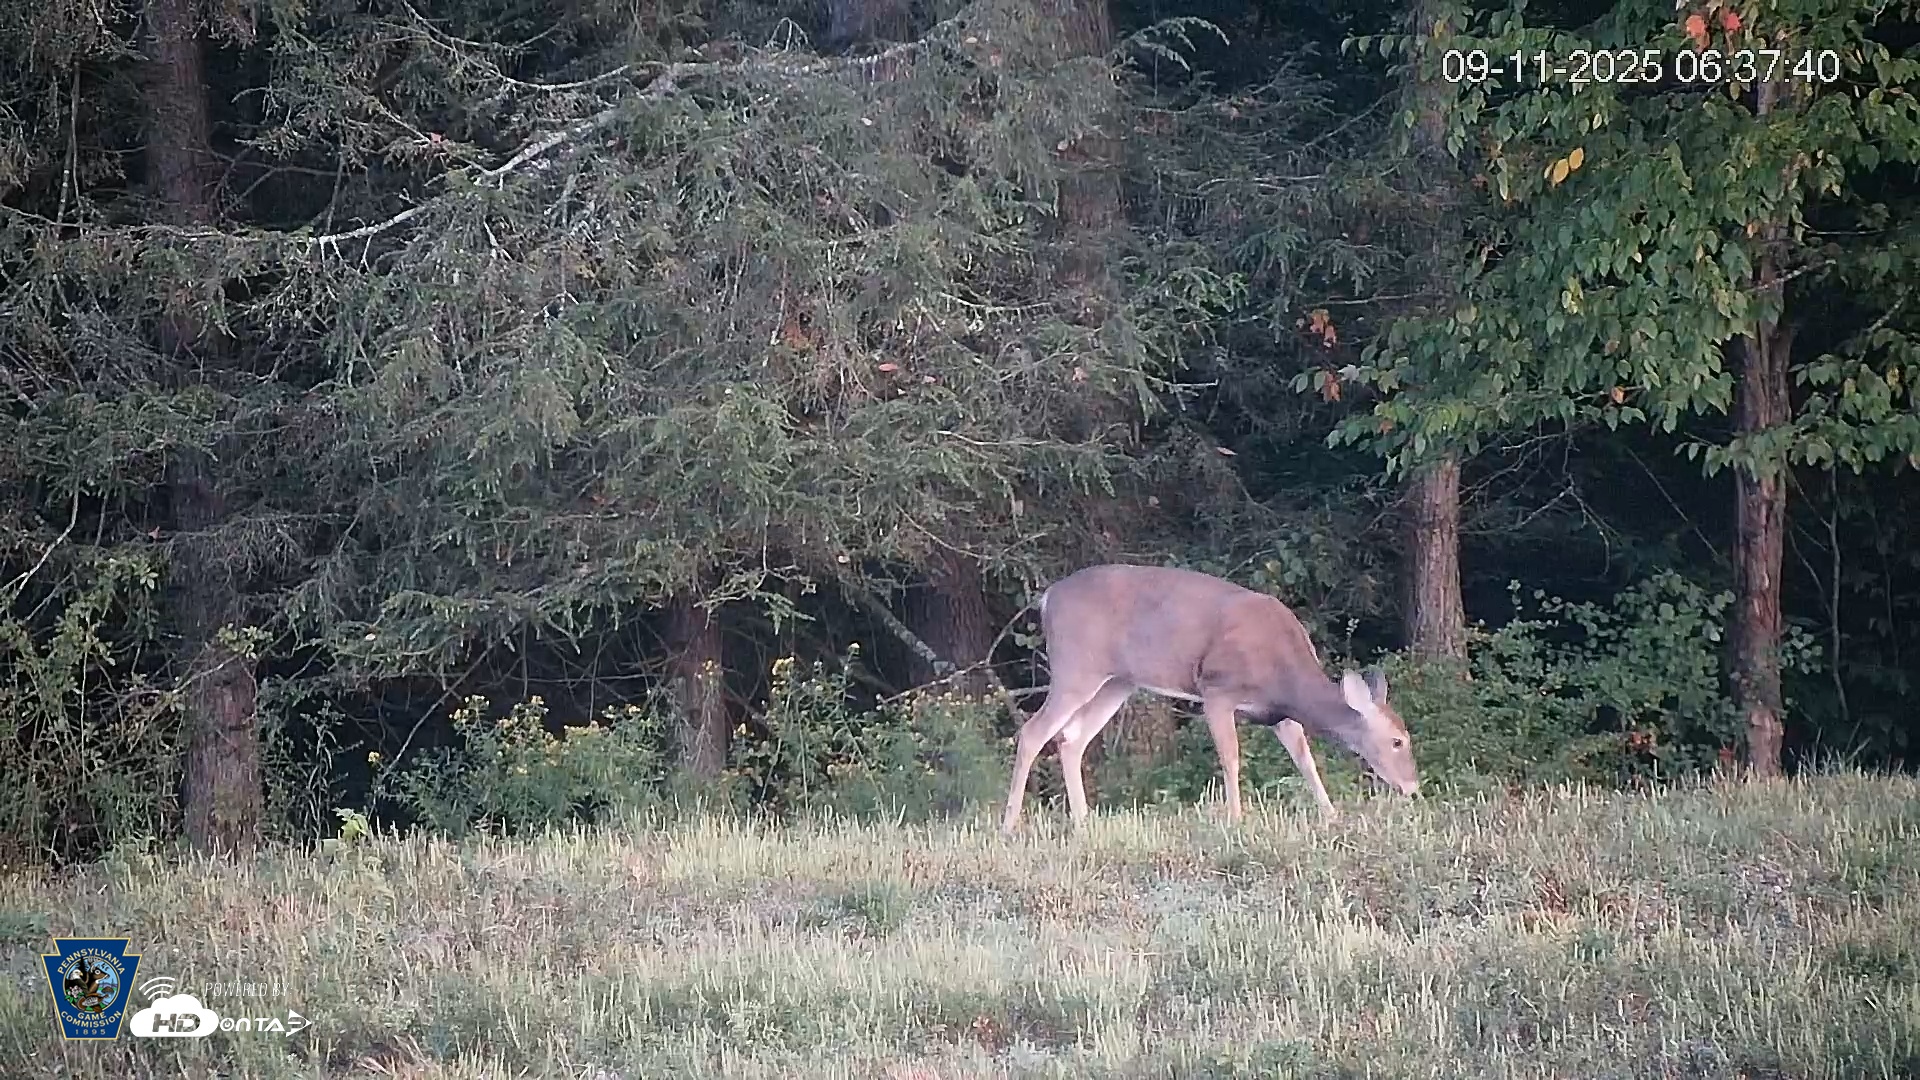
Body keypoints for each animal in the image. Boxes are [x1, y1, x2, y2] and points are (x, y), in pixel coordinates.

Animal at [999, 563, 1419, 833]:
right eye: (1397, 741)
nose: (1413, 788)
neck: (1285, 676)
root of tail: (1047, 598)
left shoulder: (1277, 713)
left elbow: (1305, 759)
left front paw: (1330, 815)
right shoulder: (1216, 689)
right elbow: (1231, 757)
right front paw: (1236, 820)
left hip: (1116, 681)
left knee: (1071, 738)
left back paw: (1084, 822)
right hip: (1075, 667)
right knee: (1034, 732)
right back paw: (1009, 825)